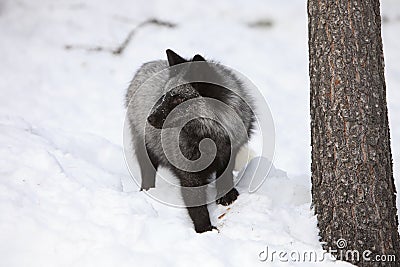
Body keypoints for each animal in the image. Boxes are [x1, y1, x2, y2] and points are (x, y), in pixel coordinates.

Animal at [125, 49, 255, 233]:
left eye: (178, 99)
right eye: (163, 96)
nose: (149, 119)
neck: (208, 137)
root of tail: (147, 64)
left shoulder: (230, 152)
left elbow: (225, 175)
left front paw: (226, 195)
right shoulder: (189, 173)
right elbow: (197, 206)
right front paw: (204, 229)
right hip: (144, 149)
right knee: (147, 174)